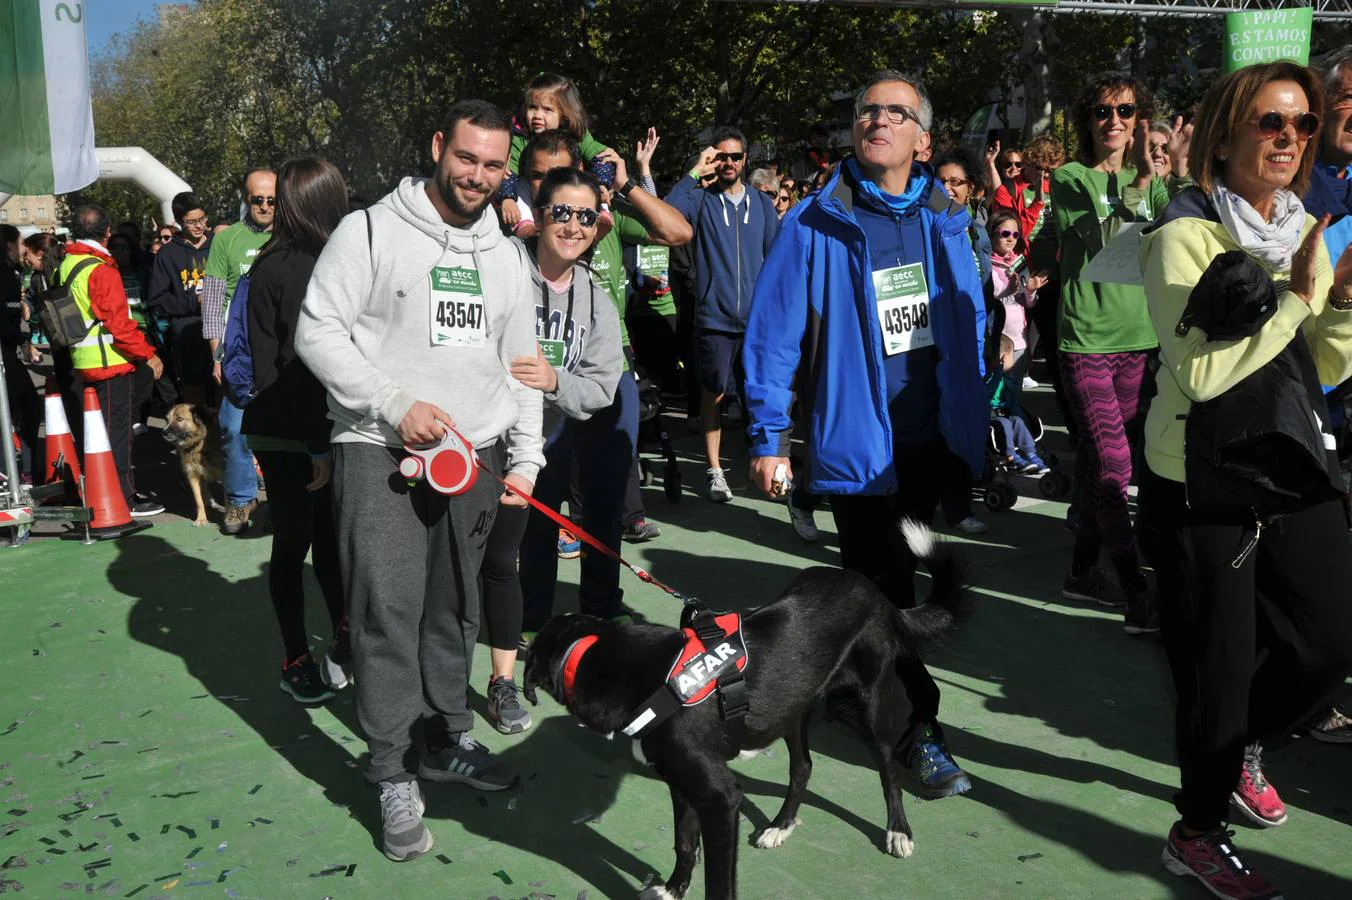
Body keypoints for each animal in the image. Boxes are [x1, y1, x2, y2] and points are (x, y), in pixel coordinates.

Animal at [521, 518, 968, 897]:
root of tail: (874, 591)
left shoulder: (720, 799)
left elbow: (719, 879)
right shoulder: (682, 785)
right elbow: (684, 843)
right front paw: (673, 889)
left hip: (874, 703)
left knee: (889, 770)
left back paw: (898, 831)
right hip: (793, 707)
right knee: (803, 767)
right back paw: (780, 826)